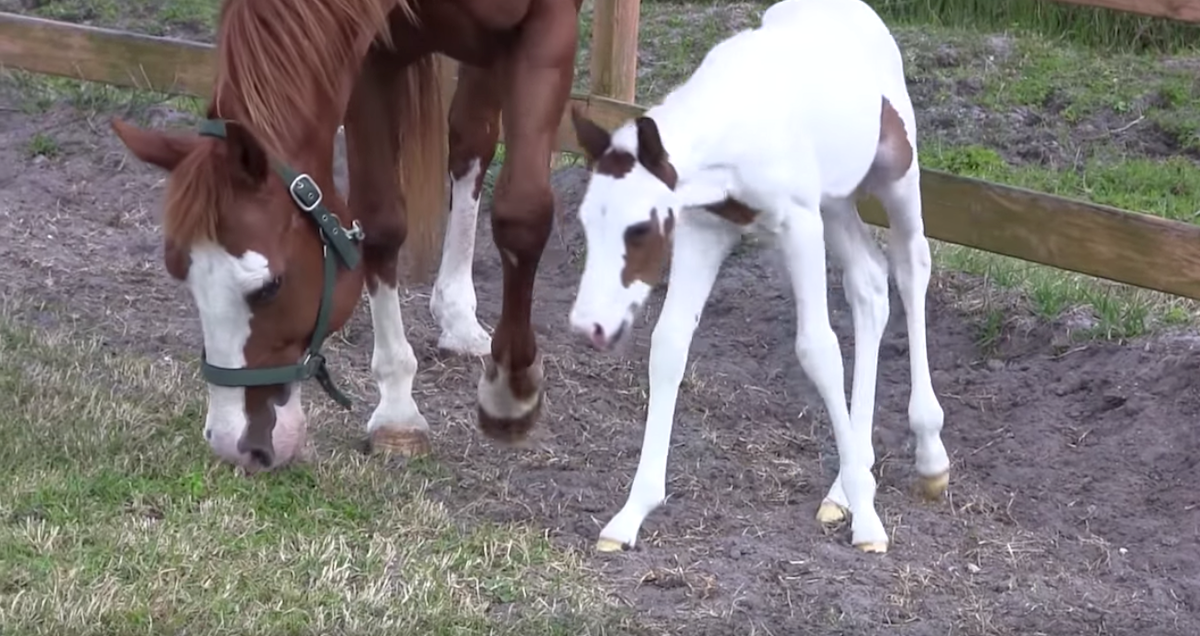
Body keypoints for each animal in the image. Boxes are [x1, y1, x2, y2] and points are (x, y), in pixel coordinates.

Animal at [111, 0, 580, 468]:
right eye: (183, 277)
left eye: (269, 287)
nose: (235, 446)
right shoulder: (373, 52)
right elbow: (381, 224)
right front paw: (397, 411)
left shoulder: (549, 25)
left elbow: (522, 215)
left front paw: (511, 395)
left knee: (473, 143)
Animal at [566, 0, 950, 549]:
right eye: (585, 221)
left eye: (639, 228)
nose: (589, 326)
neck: (737, 125)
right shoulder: (705, 228)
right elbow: (669, 344)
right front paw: (630, 514)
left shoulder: (799, 225)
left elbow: (818, 350)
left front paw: (870, 523)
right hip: (835, 202)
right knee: (870, 284)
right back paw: (844, 485)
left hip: (897, 175)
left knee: (911, 266)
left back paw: (929, 455)